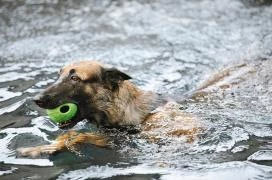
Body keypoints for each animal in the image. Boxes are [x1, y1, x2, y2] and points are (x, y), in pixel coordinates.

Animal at [18, 60, 202, 158]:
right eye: (58, 76)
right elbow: (69, 135)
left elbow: (77, 136)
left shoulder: (116, 138)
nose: (36, 99)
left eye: (75, 78)